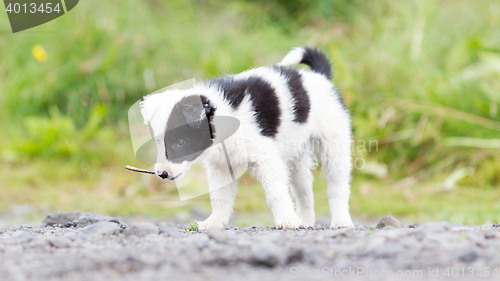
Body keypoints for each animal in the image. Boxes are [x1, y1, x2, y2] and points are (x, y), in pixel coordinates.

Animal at [139, 47, 354, 229]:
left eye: (180, 142)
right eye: (158, 141)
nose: (161, 174)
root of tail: (319, 76)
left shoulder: (266, 158)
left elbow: (275, 193)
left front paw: (286, 221)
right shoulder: (221, 166)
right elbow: (220, 196)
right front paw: (213, 222)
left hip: (334, 143)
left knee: (337, 186)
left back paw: (341, 221)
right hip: (296, 156)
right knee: (304, 190)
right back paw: (305, 221)